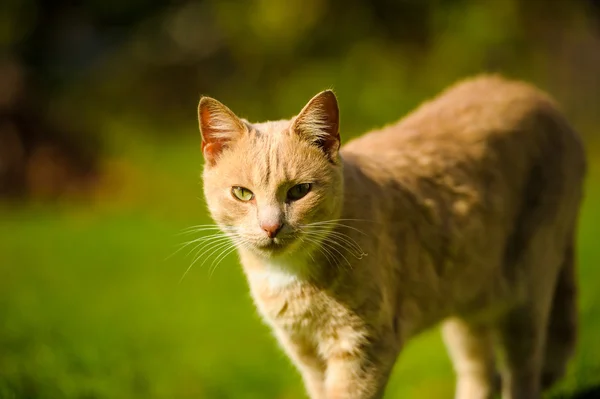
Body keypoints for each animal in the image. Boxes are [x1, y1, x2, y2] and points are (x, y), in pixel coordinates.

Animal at [197, 76, 584, 399]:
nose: (271, 227)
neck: (290, 276)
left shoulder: (365, 347)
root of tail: (536, 94)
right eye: (243, 194)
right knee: (479, 372)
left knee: (524, 371)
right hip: (468, 295)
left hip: (527, 290)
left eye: (299, 191)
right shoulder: (306, 354)